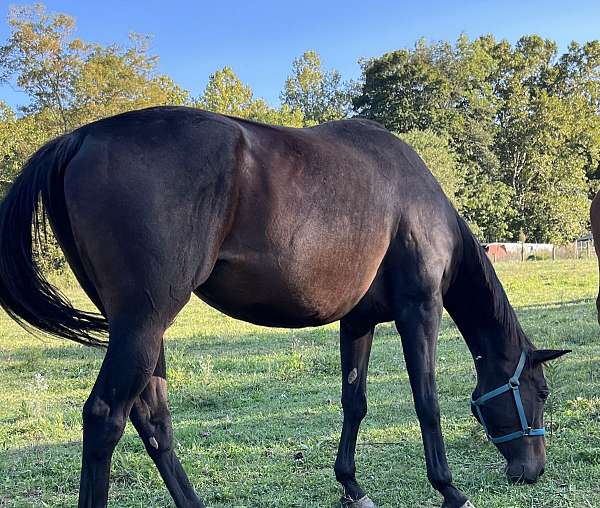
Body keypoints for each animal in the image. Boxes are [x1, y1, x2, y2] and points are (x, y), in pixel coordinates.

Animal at [0, 108, 568, 508]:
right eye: (539, 391)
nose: (533, 470)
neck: (421, 203)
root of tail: (82, 137)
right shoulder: (419, 311)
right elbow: (426, 402)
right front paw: (449, 490)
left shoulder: (358, 322)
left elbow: (354, 402)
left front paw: (352, 487)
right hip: (143, 323)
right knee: (106, 418)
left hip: (143, 331)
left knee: (153, 419)